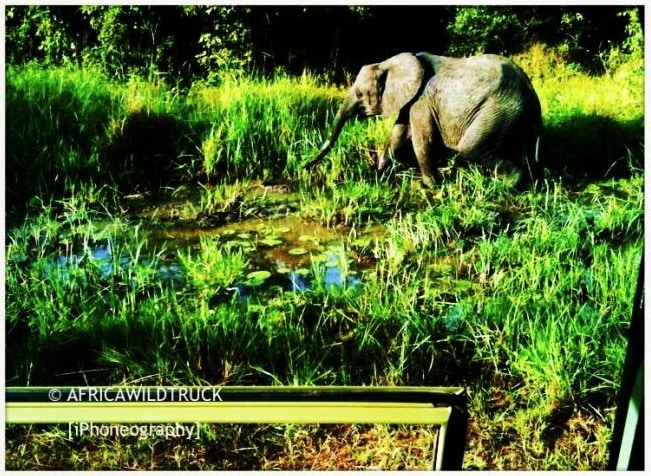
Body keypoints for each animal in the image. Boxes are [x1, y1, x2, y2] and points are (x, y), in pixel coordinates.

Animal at [306, 51, 544, 186]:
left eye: (360, 94)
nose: (304, 166)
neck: (388, 63)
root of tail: (532, 93)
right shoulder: (410, 100)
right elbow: (399, 133)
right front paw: (379, 173)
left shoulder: (422, 102)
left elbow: (422, 139)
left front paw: (432, 187)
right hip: (514, 114)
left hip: (499, 110)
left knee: (471, 147)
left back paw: (506, 185)